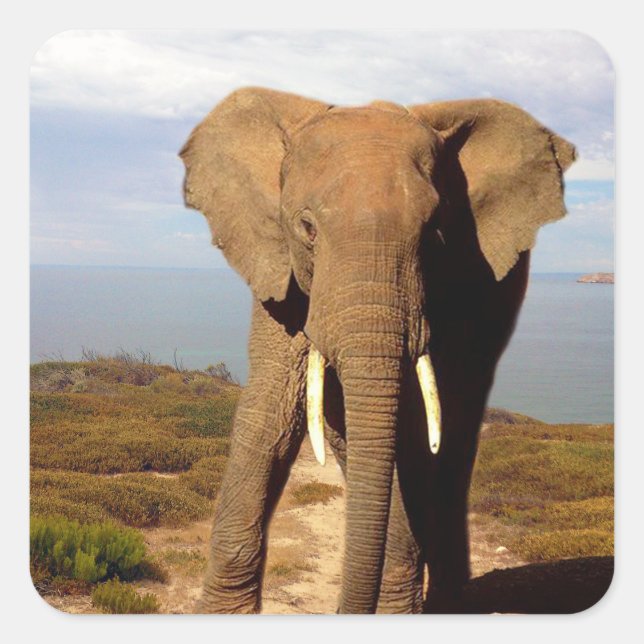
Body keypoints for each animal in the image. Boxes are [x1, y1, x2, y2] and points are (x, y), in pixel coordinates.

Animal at [179, 87, 575, 614]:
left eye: (436, 232)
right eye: (307, 228)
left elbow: (411, 426)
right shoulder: (278, 266)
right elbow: (270, 412)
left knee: (454, 429)